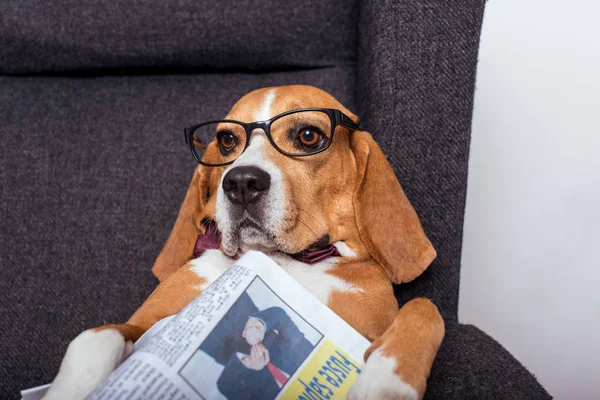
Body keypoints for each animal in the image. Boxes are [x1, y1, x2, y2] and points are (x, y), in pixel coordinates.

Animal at [43, 84, 446, 400]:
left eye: (308, 136)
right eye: (226, 140)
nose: (241, 183)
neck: (282, 259)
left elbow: (425, 308)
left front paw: (386, 379)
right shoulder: (146, 325)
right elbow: (94, 335)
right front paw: (72, 387)